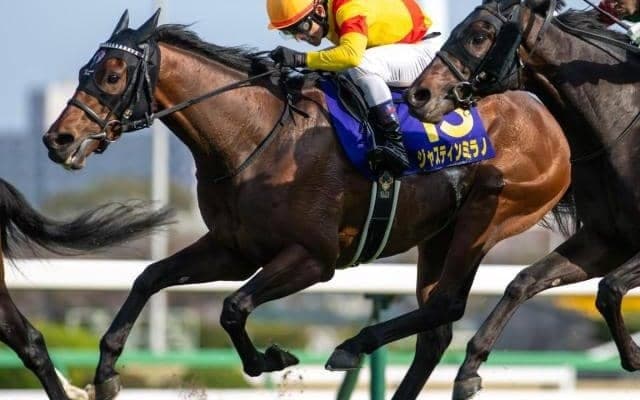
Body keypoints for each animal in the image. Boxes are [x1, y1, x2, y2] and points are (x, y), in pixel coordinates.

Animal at [42, 10, 572, 400]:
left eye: (112, 75)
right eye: (85, 71)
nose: (57, 140)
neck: (256, 136)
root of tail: (548, 119)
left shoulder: (313, 259)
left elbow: (233, 307)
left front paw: (269, 358)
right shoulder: (235, 250)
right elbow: (149, 278)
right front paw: (107, 371)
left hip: (489, 215)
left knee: (447, 305)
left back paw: (353, 346)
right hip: (439, 235)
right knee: (436, 329)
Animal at [406, 0, 640, 398]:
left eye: (479, 35)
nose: (418, 95)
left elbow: (609, 288)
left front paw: (634, 356)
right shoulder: (606, 241)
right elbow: (525, 281)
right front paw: (469, 370)